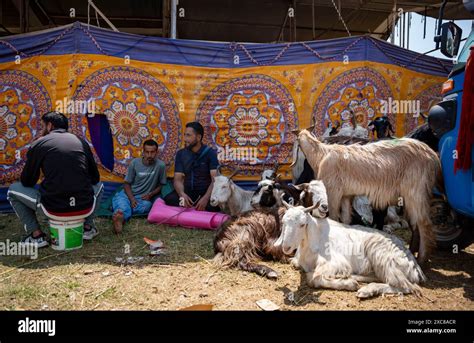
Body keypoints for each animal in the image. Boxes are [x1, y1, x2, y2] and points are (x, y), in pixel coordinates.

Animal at [274, 181, 426, 300]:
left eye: (302, 224)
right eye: (284, 222)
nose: (286, 247)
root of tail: (415, 266)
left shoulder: (337, 263)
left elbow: (312, 278)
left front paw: (349, 284)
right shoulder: (297, 261)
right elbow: (297, 265)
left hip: (382, 256)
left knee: (407, 286)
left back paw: (366, 290)